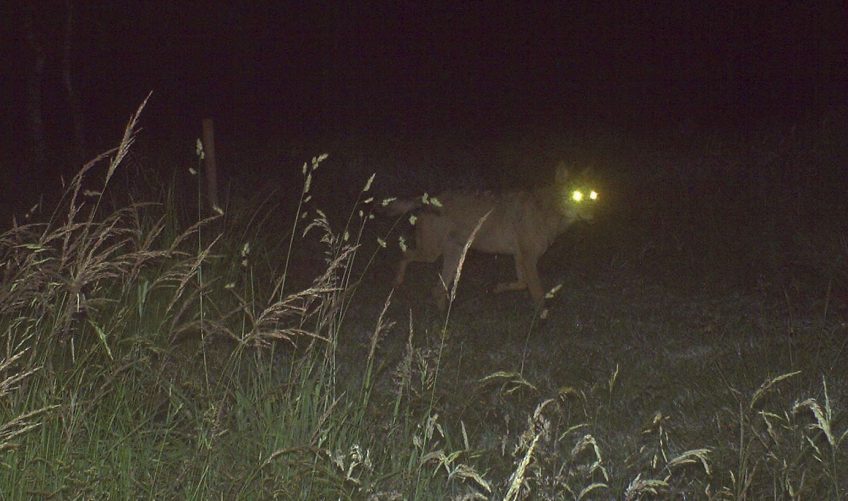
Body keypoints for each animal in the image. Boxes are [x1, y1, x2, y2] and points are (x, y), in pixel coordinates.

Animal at [383, 163, 598, 317]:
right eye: (576, 196)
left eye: (593, 195)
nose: (592, 216)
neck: (549, 211)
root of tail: (427, 199)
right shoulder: (528, 259)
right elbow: (537, 292)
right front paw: (541, 321)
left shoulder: (520, 257)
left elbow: (522, 284)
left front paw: (499, 288)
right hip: (430, 254)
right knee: (404, 256)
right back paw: (397, 282)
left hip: (453, 257)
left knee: (437, 290)